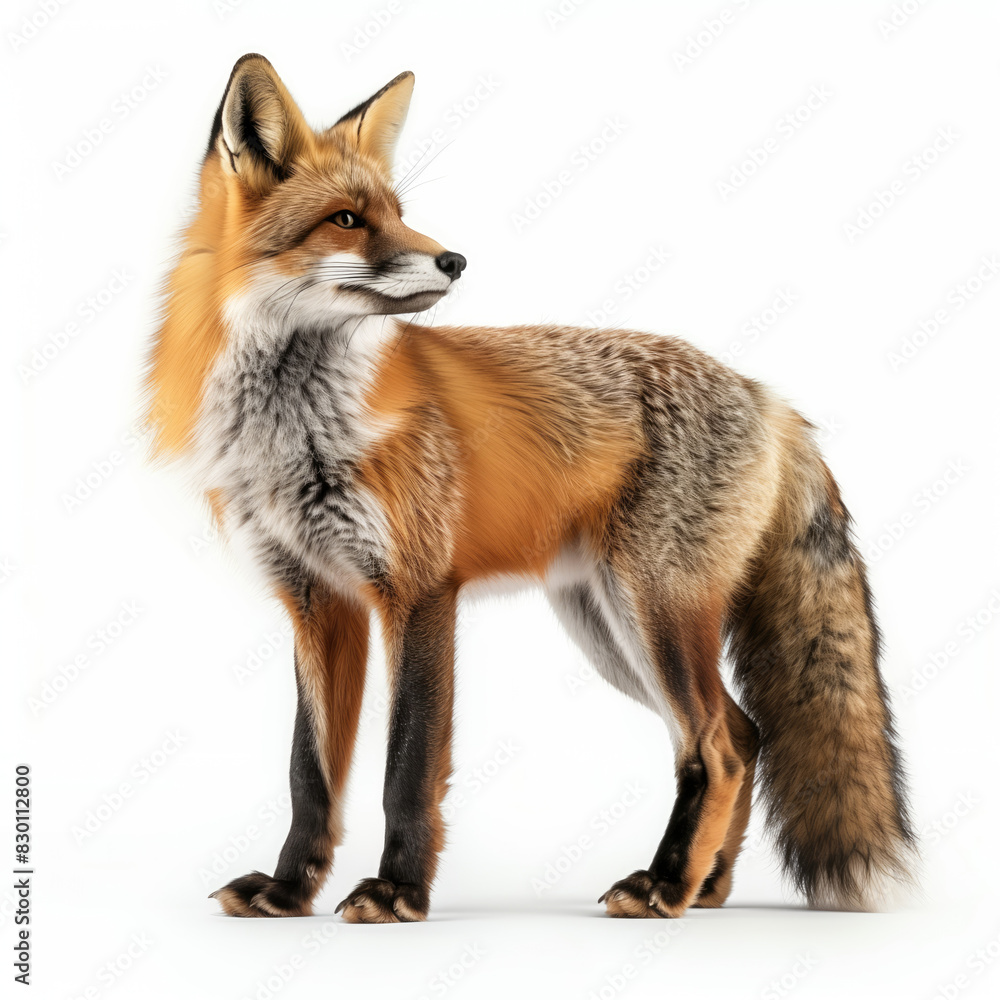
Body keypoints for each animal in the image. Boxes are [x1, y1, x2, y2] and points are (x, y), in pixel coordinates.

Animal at [144, 53, 916, 922]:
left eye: (401, 215)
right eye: (347, 220)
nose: (453, 260)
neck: (299, 433)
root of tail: (769, 397)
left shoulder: (419, 589)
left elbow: (407, 767)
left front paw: (398, 891)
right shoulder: (318, 602)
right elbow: (310, 774)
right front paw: (287, 890)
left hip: (651, 609)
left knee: (715, 743)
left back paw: (666, 883)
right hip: (608, 626)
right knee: (742, 735)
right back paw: (703, 886)